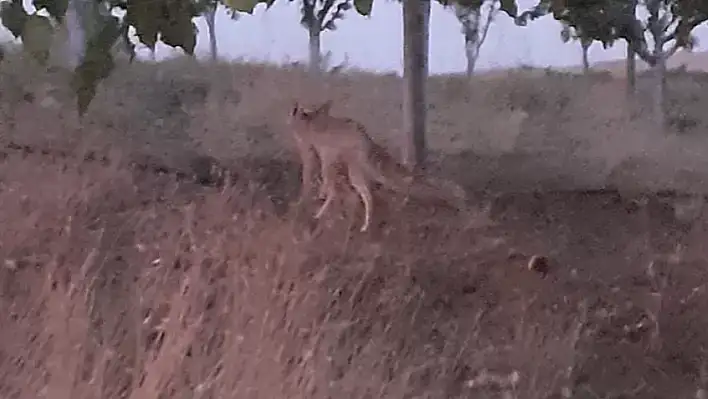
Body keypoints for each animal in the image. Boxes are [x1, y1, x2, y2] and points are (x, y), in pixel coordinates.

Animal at [284, 99, 468, 234]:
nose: (291, 116)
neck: (307, 121)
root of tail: (365, 136)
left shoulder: (314, 154)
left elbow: (311, 181)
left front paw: (307, 202)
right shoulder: (323, 156)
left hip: (352, 167)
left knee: (367, 193)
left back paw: (364, 224)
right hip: (353, 166)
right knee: (364, 191)